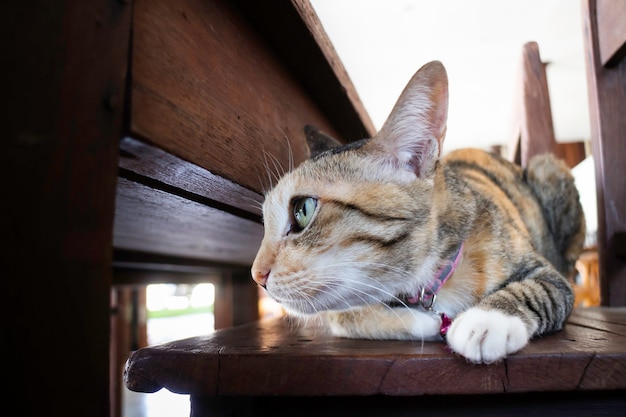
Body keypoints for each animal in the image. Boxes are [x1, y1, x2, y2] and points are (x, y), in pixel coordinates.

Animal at [249, 60, 584, 362]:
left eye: (303, 210)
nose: (256, 275)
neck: (424, 283)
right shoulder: (344, 308)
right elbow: (352, 316)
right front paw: (429, 321)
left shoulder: (546, 274)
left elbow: (539, 290)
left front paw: (485, 322)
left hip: (548, 171)